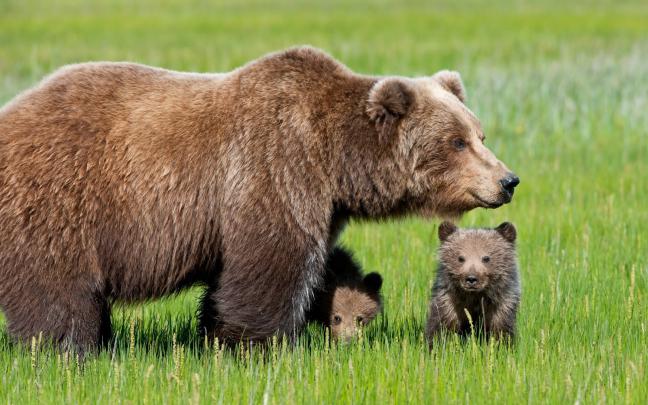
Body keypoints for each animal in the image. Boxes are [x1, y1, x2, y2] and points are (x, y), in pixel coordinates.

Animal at [0, 46, 518, 354]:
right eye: (456, 141)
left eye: (479, 134)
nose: (508, 180)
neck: (335, 158)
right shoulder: (274, 167)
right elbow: (270, 264)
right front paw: (258, 344)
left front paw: (215, 335)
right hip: (60, 201)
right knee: (57, 288)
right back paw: (68, 348)